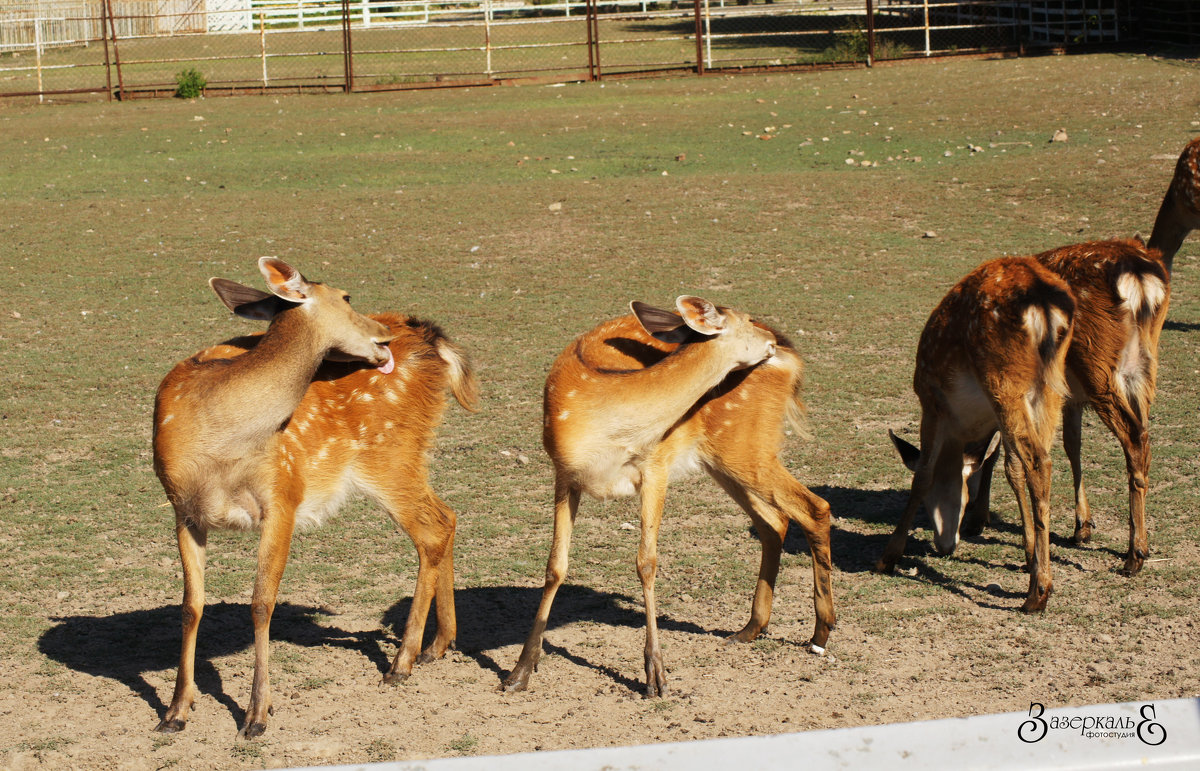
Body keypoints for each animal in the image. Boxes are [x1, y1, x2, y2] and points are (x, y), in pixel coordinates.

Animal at [153, 254, 477, 734]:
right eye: (347, 296)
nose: (383, 337)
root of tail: (430, 338)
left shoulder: (283, 493)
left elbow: (261, 602)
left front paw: (257, 715)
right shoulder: (183, 509)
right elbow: (191, 606)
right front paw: (176, 711)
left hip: (390, 455)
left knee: (434, 528)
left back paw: (401, 662)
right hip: (403, 456)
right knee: (446, 517)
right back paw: (438, 645)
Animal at [499, 297, 835, 691]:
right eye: (749, 320)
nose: (772, 340)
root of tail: (792, 362)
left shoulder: (656, 464)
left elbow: (646, 562)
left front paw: (655, 675)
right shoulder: (564, 473)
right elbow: (555, 565)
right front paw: (520, 670)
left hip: (748, 447)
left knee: (814, 507)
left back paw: (820, 634)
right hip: (726, 458)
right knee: (775, 522)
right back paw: (751, 628)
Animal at [873, 254, 1080, 610]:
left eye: (930, 501)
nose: (944, 545)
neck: (965, 428)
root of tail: (1046, 306)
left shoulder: (932, 402)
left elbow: (922, 474)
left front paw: (888, 556)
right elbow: (1009, 468)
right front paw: (1026, 552)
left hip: (1005, 380)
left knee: (1038, 462)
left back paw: (1037, 593)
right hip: (1051, 387)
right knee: (1044, 459)